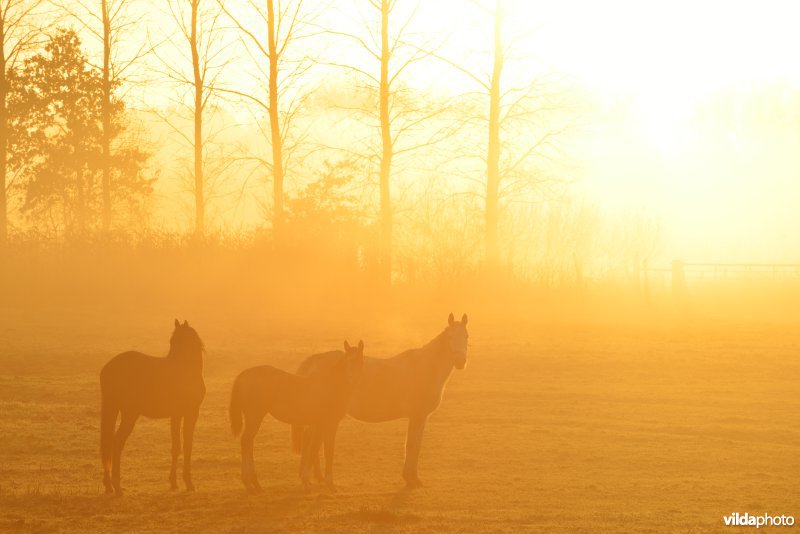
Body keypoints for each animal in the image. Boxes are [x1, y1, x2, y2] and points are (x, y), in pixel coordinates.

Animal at [99, 318, 206, 498]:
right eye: (172, 342)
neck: (187, 368)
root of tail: (109, 368)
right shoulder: (191, 414)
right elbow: (187, 446)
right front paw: (189, 483)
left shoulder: (176, 415)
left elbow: (176, 447)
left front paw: (173, 482)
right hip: (129, 415)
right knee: (117, 443)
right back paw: (117, 486)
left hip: (112, 410)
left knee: (108, 444)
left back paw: (108, 486)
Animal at [230, 342, 364, 492]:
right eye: (348, 360)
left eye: (361, 360)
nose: (354, 380)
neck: (330, 386)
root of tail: (244, 375)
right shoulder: (328, 423)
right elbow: (322, 450)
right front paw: (320, 483)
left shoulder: (321, 424)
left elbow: (318, 448)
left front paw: (313, 481)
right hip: (254, 416)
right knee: (246, 441)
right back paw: (249, 482)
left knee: (248, 441)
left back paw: (254, 483)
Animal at [294, 314, 468, 490]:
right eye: (450, 337)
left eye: (466, 336)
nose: (460, 361)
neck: (425, 367)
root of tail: (315, 360)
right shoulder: (417, 416)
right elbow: (412, 445)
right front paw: (410, 479)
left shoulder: (421, 417)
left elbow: (416, 445)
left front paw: (414, 479)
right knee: (311, 439)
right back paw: (309, 478)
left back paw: (315, 477)